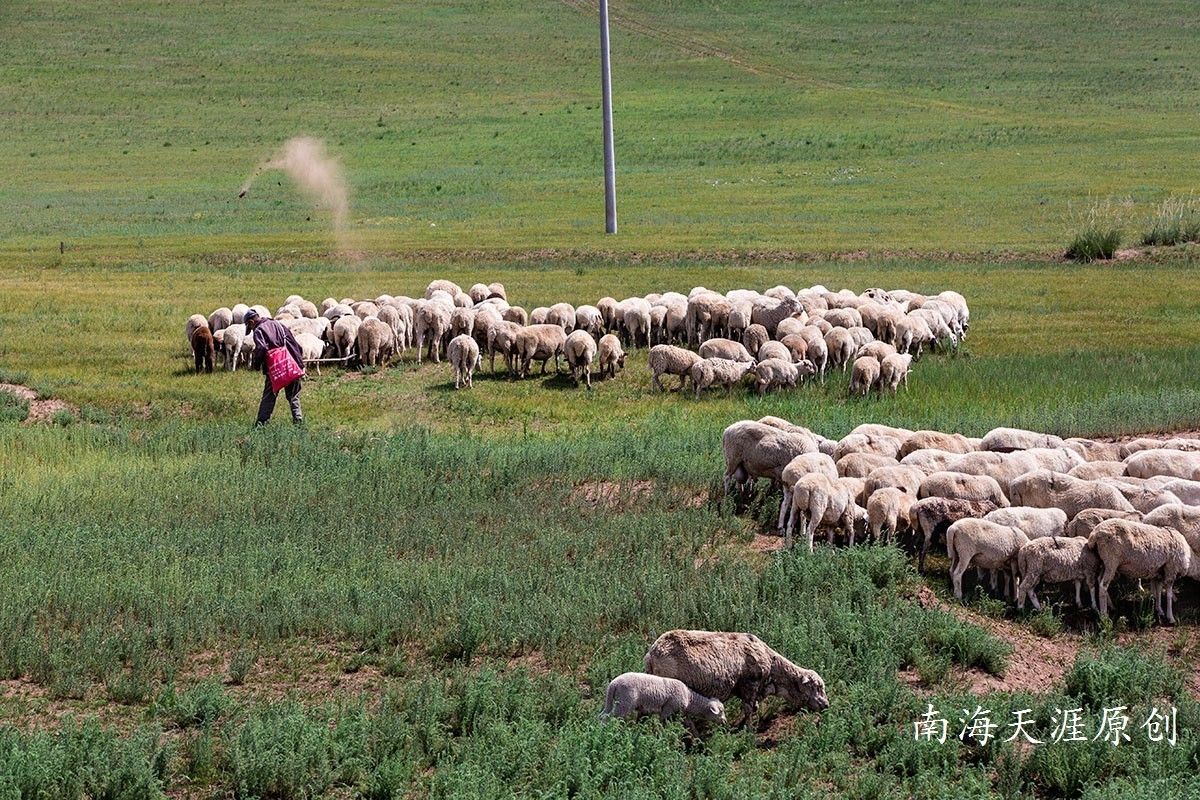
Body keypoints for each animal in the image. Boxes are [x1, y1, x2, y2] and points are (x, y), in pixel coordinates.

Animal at [643, 628, 830, 729]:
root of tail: (652, 655)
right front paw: (749, 732)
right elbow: (748, 709)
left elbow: (753, 708)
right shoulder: (750, 684)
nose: (826, 705)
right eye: (817, 687)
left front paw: (740, 727)